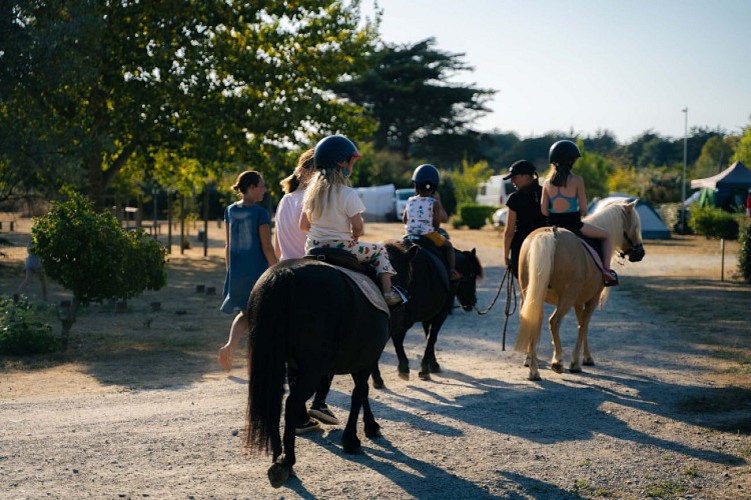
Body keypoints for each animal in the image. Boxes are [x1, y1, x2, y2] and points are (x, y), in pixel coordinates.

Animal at [245, 260, 394, 486]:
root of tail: (284, 273)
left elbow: (362, 392)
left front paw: (369, 426)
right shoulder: (365, 360)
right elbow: (360, 393)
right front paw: (352, 439)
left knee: (275, 400)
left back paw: (278, 454)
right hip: (313, 368)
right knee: (291, 403)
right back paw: (287, 461)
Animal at [372, 240, 488, 384]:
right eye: (472, 275)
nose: (472, 301)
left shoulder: (428, 315)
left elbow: (428, 336)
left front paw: (432, 364)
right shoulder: (441, 313)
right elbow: (432, 337)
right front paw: (425, 369)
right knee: (394, 338)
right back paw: (396, 370)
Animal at [516, 199, 648, 378]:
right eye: (635, 226)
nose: (641, 253)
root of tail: (550, 233)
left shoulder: (578, 301)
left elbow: (580, 324)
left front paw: (584, 357)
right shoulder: (592, 299)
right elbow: (584, 326)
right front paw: (576, 362)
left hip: (533, 295)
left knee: (534, 321)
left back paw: (534, 370)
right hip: (566, 297)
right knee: (554, 322)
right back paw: (557, 361)